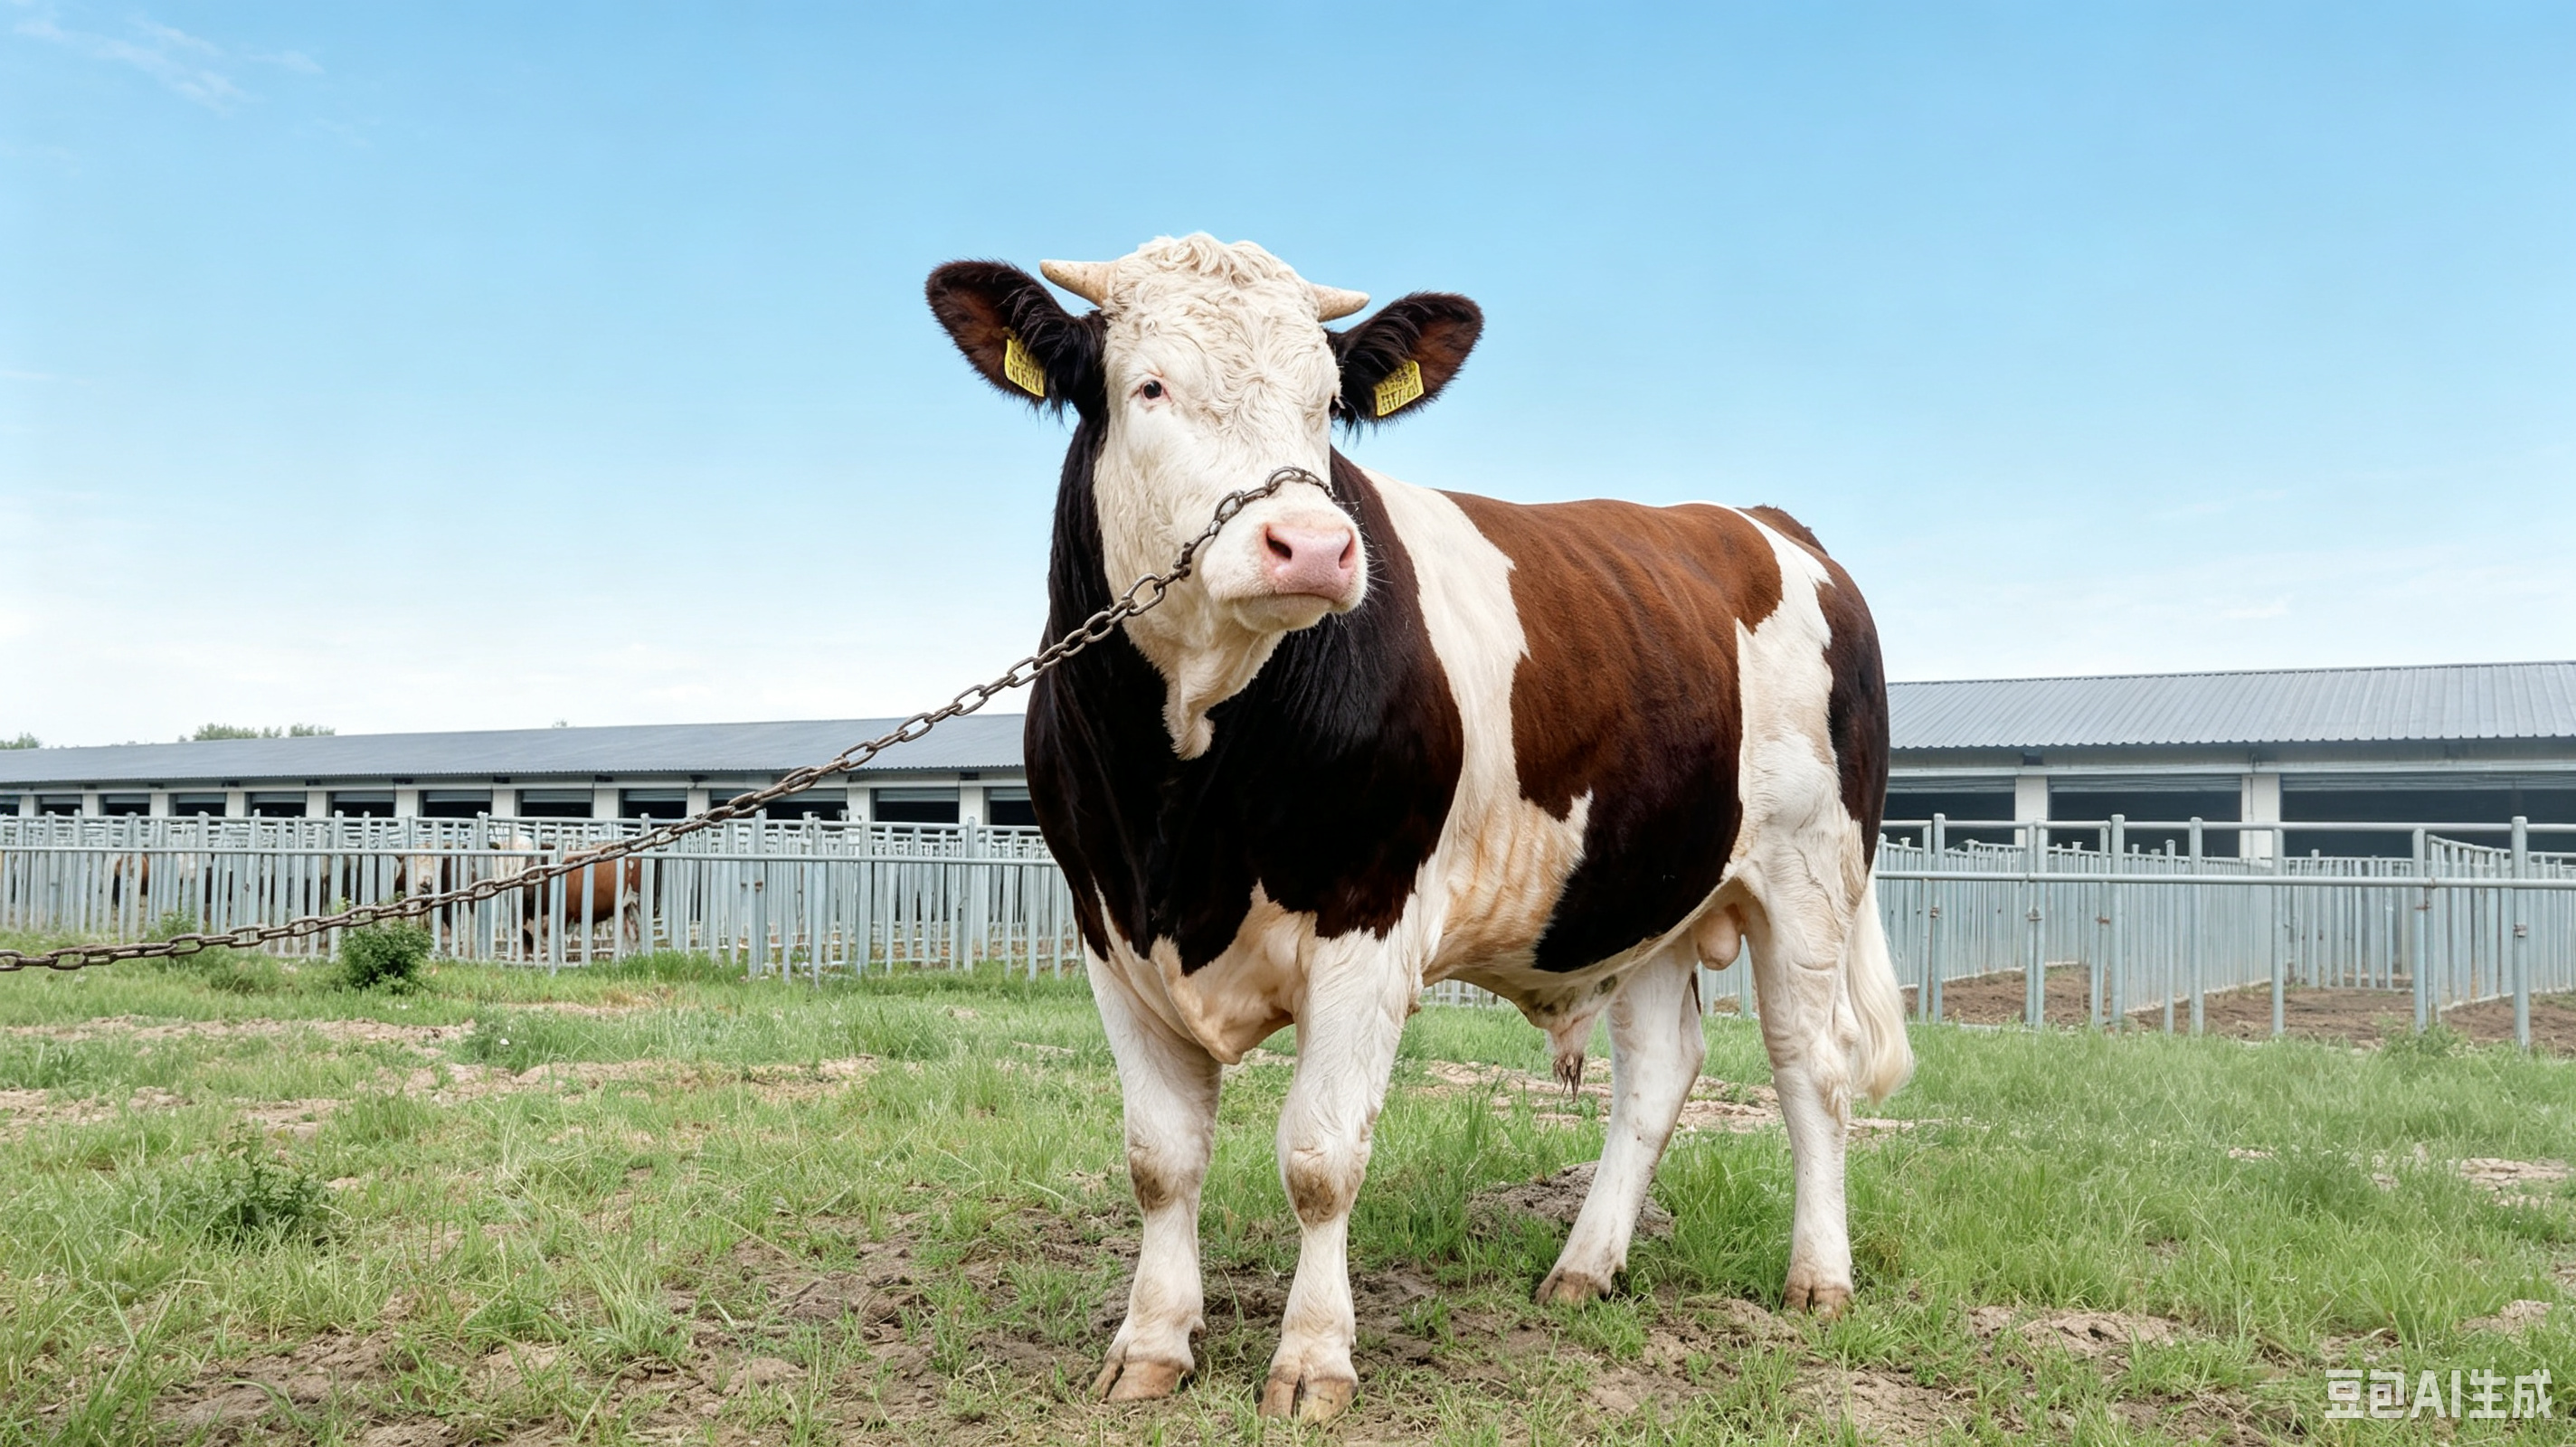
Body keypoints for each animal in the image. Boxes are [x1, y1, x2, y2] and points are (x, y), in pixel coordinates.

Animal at [926, 235, 1911, 1421]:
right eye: (1147, 386)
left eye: (1325, 403)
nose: (1311, 546)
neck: (1181, 783)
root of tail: (1763, 523)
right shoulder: (1108, 927)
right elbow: (1160, 1156)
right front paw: (1152, 1343)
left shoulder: (1370, 920)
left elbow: (1319, 1157)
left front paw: (1312, 1359)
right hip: (1647, 890)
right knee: (1659, 1071)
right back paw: (1583, 1268)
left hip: (1809, 873)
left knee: (1812, 1066)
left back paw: (1818, 1278)